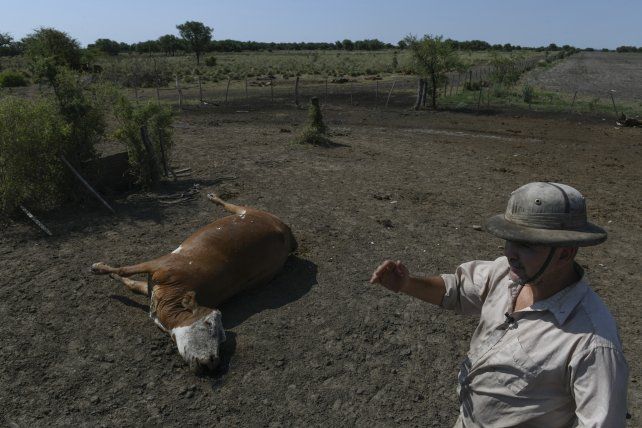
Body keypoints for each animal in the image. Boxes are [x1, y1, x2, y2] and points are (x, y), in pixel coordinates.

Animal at [91, 194, 297, 373]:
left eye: (223, 338)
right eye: (208, 323)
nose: (213, 362)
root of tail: (284, 228)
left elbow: (129, 280)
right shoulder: (160, 265)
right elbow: (126, 274)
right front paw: (99, 268)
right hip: (250, 212)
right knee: (231, 205)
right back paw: (214, 198)